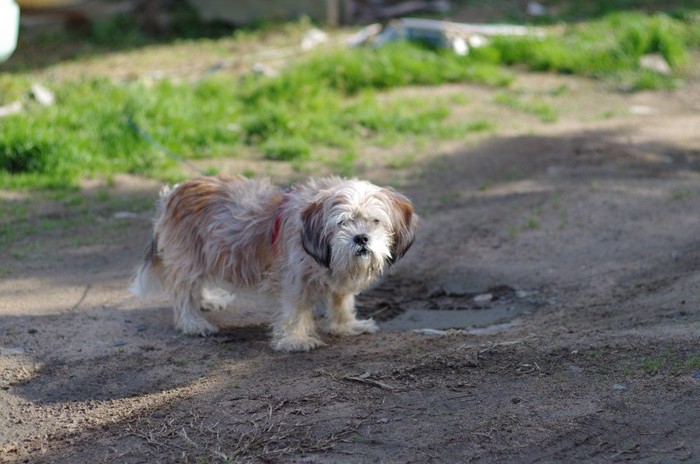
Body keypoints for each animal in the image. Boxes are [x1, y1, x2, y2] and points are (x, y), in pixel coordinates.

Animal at [129, 175, 416, 352]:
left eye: (375, 221)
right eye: (342, 223)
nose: (361, 238)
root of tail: (172, 194)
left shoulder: (339, 281)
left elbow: (342, 302)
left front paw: (347, 326)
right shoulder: (295, 280)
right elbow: (297, 309)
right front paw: (296, 339)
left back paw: (207, 300)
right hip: (187, 260)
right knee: (181, 295)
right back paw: (192, 322)